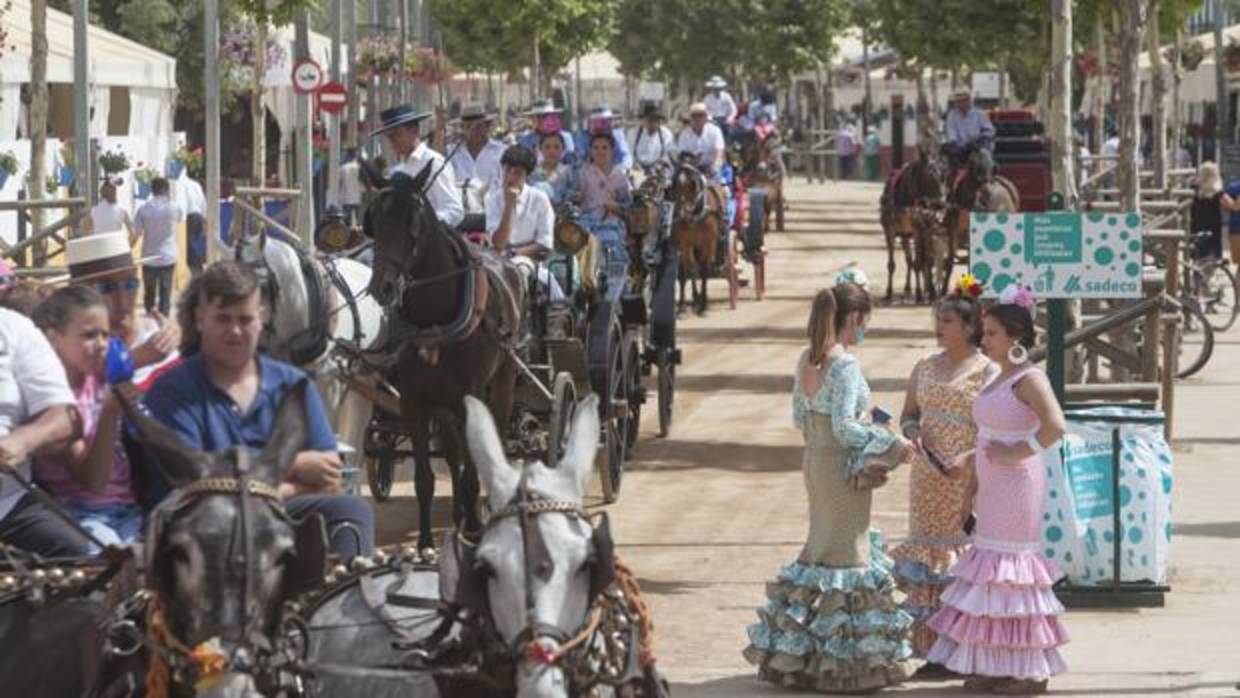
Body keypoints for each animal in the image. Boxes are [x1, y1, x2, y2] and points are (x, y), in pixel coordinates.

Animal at [364, 162, 525, 552]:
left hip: (502, 380)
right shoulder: (414, 401)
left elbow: (472, 469)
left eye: (414, 222)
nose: (383, 287)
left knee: (492, 439)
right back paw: (458, 516)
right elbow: (425, 478)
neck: (433, 318)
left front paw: (475, 530)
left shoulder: (470, 396)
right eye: (374, 221)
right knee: (453, 452)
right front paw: (425, 542)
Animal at [877, 148, 942, 304]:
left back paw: (930, 292)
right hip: (905, 235)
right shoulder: (889, 231)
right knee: (909, 260)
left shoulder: (919, 230)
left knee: (926, 260)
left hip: (925, 231)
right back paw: (908, 289)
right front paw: (889, 293)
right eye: (929, 175)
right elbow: (892, 264)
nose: (940, 204)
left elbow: (919, 263)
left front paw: (919, 294)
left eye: (943, 175)